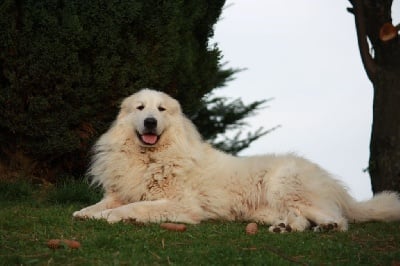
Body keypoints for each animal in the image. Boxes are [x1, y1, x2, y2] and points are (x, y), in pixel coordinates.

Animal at [73, 88, 400, 232]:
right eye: (140, 108)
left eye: (161, 110)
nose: (150, 122)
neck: (151, 158)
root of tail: (332, 182)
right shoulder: (119, 192)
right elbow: (97, 206)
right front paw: (86, 213)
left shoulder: (180, 205)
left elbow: (134, 207)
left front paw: (111, 216)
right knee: (300, 220)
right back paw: (284, 228)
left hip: (286, 185)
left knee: (338, 219)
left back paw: (327, 227)